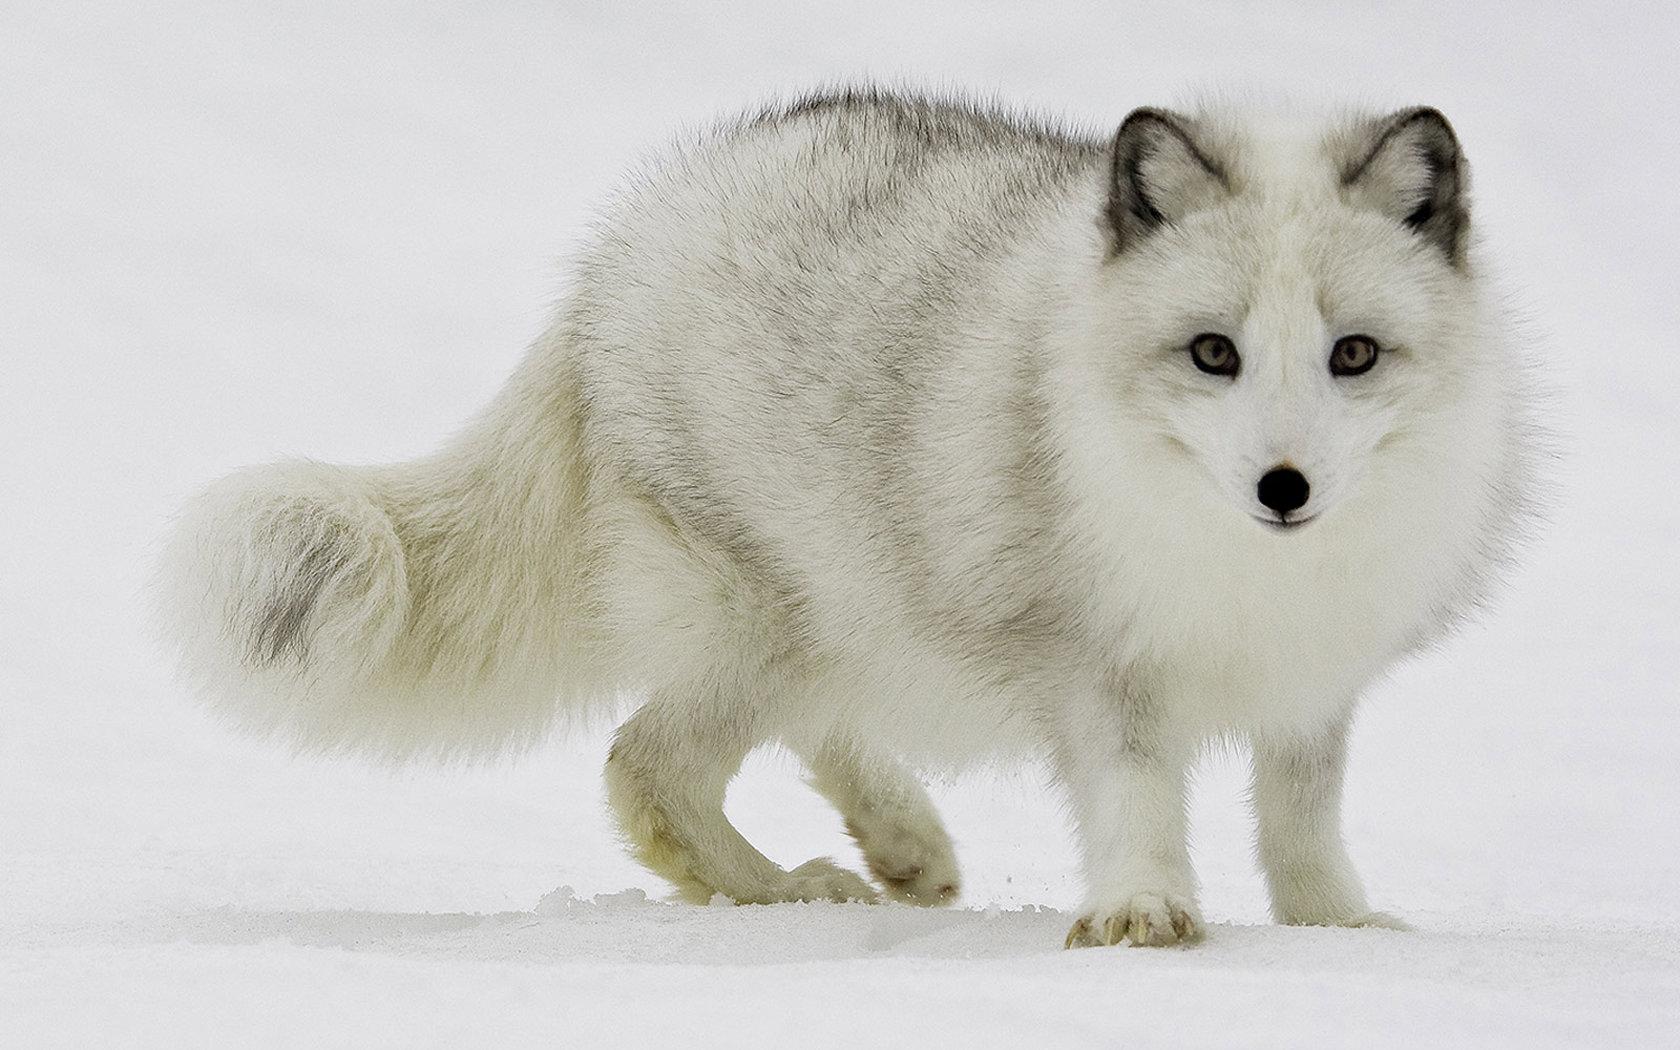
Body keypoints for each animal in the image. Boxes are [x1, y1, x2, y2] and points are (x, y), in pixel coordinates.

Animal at [157, 87, 1536, 948]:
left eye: (1353, 354)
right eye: (1213, 353)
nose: (1283, 489)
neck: (1242, 569)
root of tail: (619, 249)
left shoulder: (1314, 681)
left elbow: (1303, 818)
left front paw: (1337, 930)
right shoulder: (1098, 665)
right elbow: (1140, 798)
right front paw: (1145, 916)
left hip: (843, 614)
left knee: (804, 732)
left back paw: (903, 847)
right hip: (766, 619)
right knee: (644, 768)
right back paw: (788, 894)